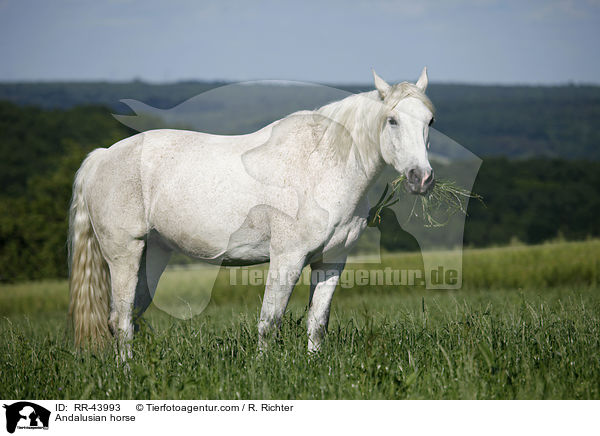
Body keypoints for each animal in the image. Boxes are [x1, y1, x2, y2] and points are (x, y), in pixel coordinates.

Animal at [68, 67, 436, 354]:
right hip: (124, 254)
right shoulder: (287, 258)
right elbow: (269, 322)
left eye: (430, 121)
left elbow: (317, 323)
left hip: (152, 255)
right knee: (120, 321)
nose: (422, 178)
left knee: (130, 316)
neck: (320, 167)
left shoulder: (332, 260)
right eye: (392, 120)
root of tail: (102, 156)